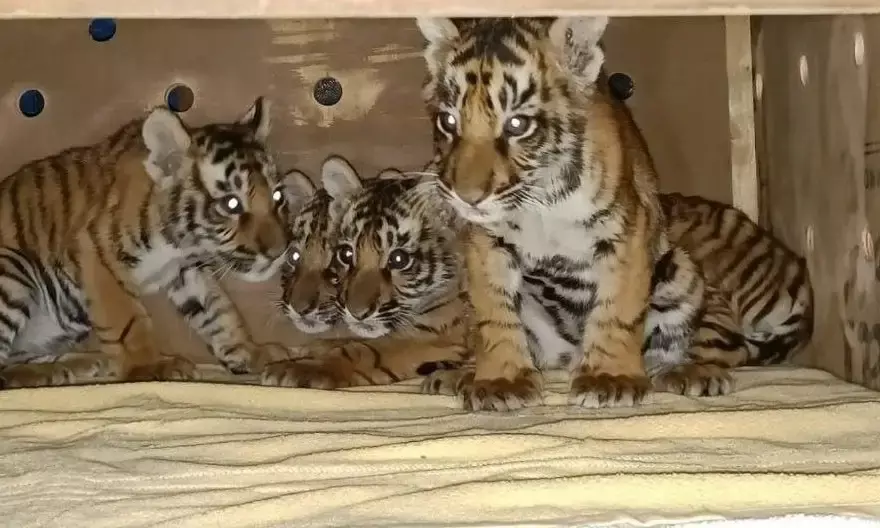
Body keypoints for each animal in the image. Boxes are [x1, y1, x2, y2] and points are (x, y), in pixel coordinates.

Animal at [0, 97, 295, 388]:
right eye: (231, 203)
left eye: (278, 196)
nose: (279, 252)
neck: (180, 243)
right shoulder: (96, 253)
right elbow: (128, 319)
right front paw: (150, 366)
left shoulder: (188, 270)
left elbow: (219, 313)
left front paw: (252, 352)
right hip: (13, 269)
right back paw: (51, 373)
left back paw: (83, 363)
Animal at [261, 156, 472, 389]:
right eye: (346, 254)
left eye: (398, 259)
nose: (357, 313)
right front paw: (278, 352)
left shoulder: (434, 336)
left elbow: (363, 352)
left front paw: (296, 368)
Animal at [414, 16, 740, 411]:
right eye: (448, 121)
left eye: (517, 125)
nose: (467, 198)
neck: (539, 201)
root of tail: (566, 358)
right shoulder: (485, 243)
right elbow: (493, 314)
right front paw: (501, 382)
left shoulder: (626, 231)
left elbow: (618, 309)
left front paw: (610, 378)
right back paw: (457, 376)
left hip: (680, 269)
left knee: (664, 351)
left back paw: (690, 372)